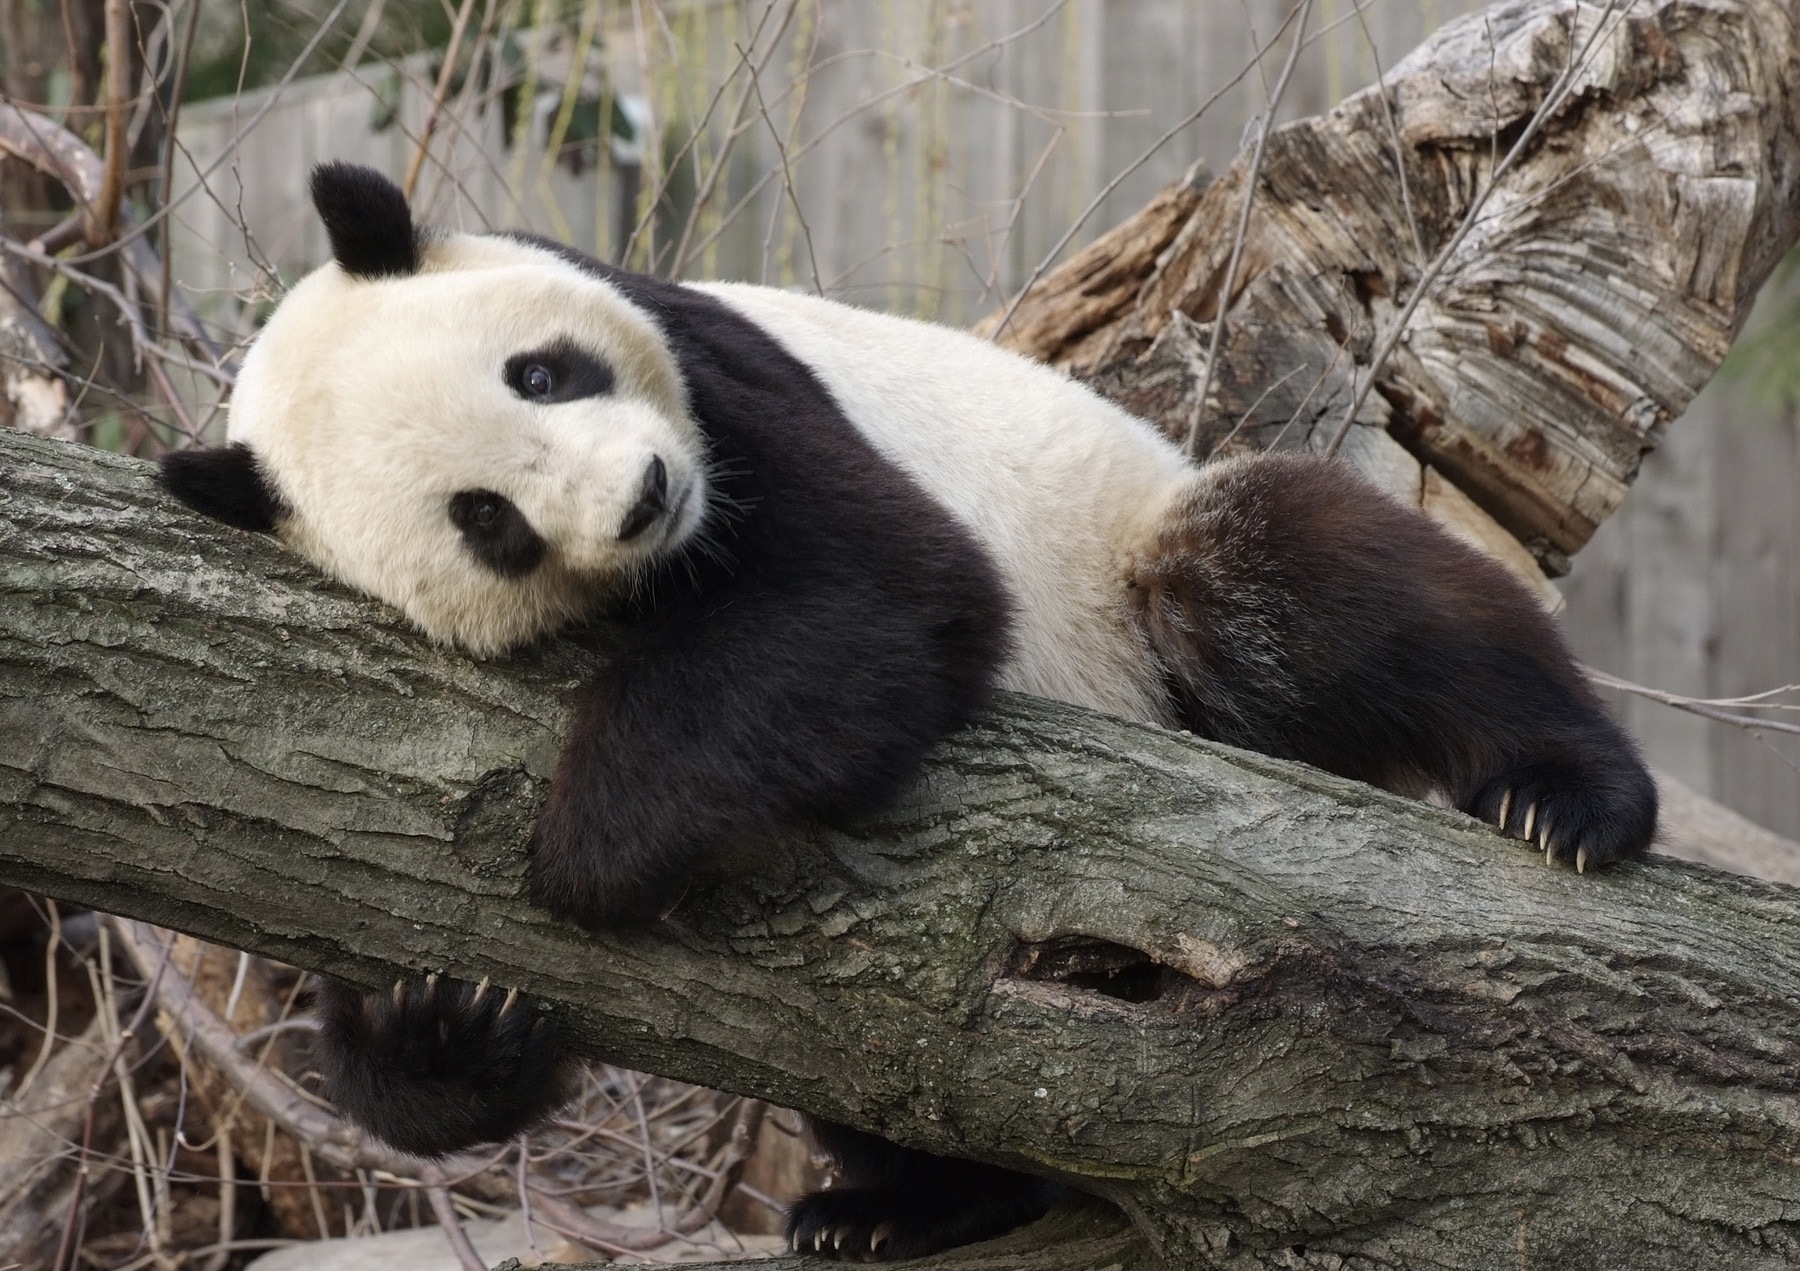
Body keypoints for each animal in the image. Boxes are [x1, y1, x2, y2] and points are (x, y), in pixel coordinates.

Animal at [162, 165, 1648, 1260]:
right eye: (486, 520)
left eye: (541, 373)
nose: (645, 495)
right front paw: (445, 1014)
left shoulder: (719, 376)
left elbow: (883, 590)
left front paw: (582, 845)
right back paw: (897, 1207)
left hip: (1134, 569)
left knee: (1302, 584)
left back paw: (1566, 798)